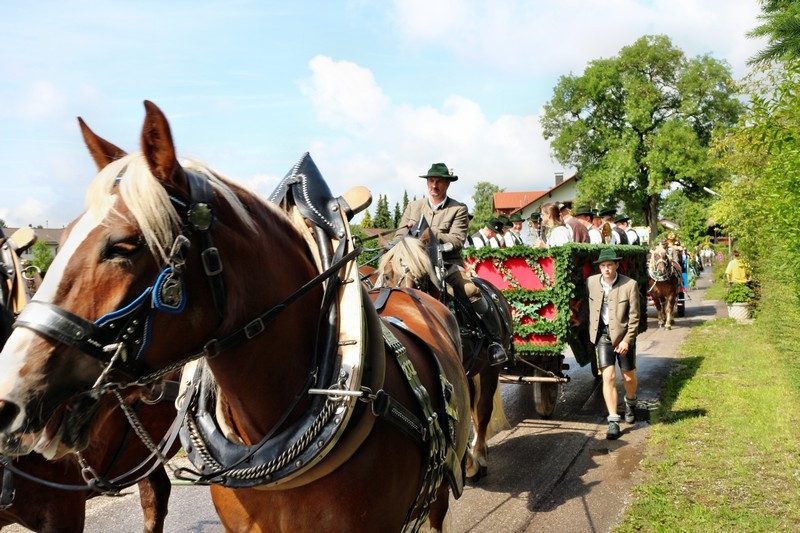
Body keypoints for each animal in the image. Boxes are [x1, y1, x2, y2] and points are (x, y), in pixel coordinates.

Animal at [376, 233, 512, 482]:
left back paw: (479, 455)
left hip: (490, 368)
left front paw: (470, 461)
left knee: (483, 408)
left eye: (420, 276)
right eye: (388, 274)